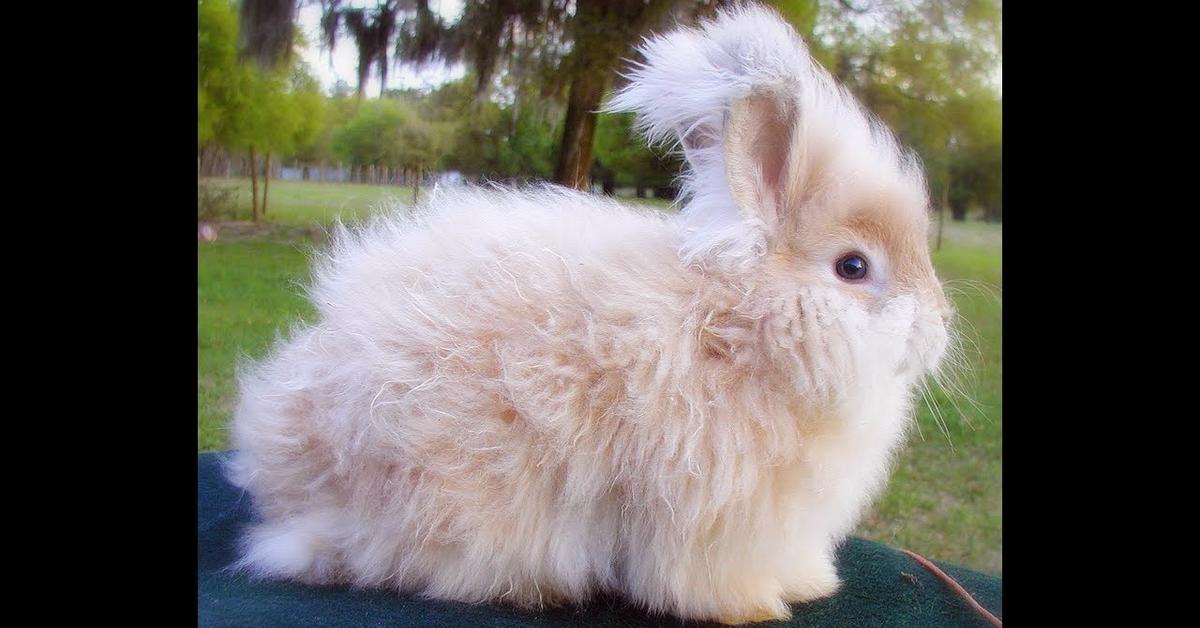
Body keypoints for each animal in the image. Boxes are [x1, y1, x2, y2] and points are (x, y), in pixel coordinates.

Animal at [225, 3, 950, 624]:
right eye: (853, 267)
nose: (941, 324)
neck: (739, 329)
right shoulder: (714, 516)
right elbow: (709, 577)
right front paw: (755, 607)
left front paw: (810, 583)